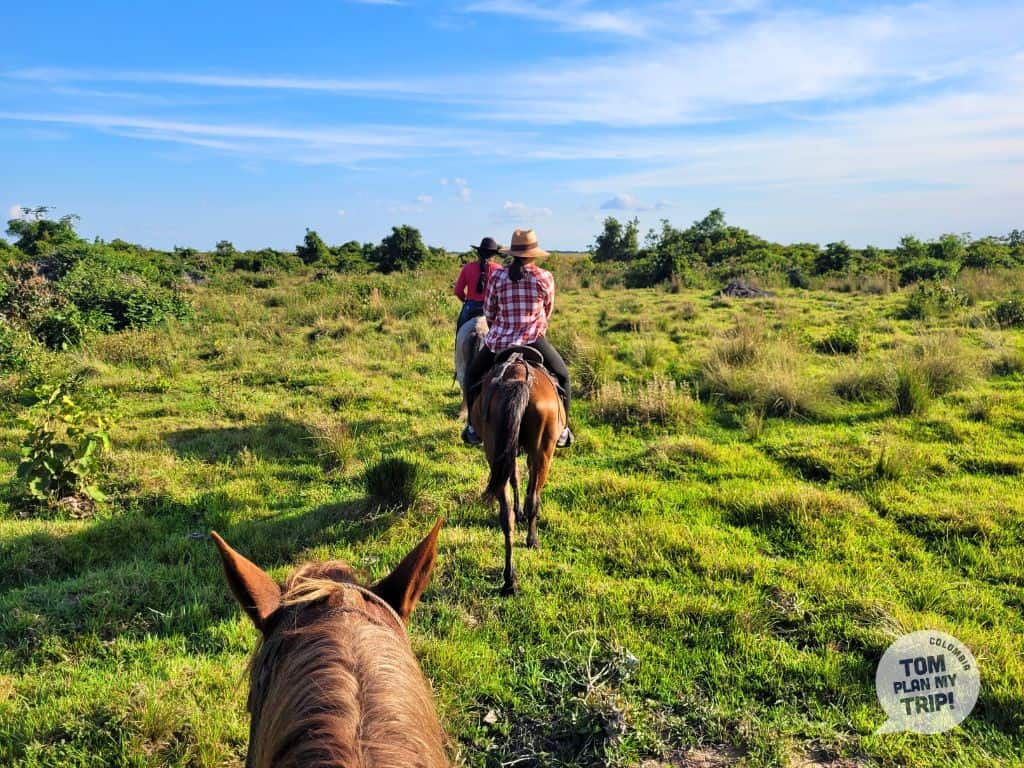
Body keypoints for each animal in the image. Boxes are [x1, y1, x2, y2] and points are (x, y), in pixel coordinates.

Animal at [468, 348, 564, 596]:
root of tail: (520, 378)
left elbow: (514, 478)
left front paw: (518, 510)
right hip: (543, 453)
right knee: (534, 500)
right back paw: (532, 541)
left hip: (496, 450)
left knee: (506, 515)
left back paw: (509, 579)